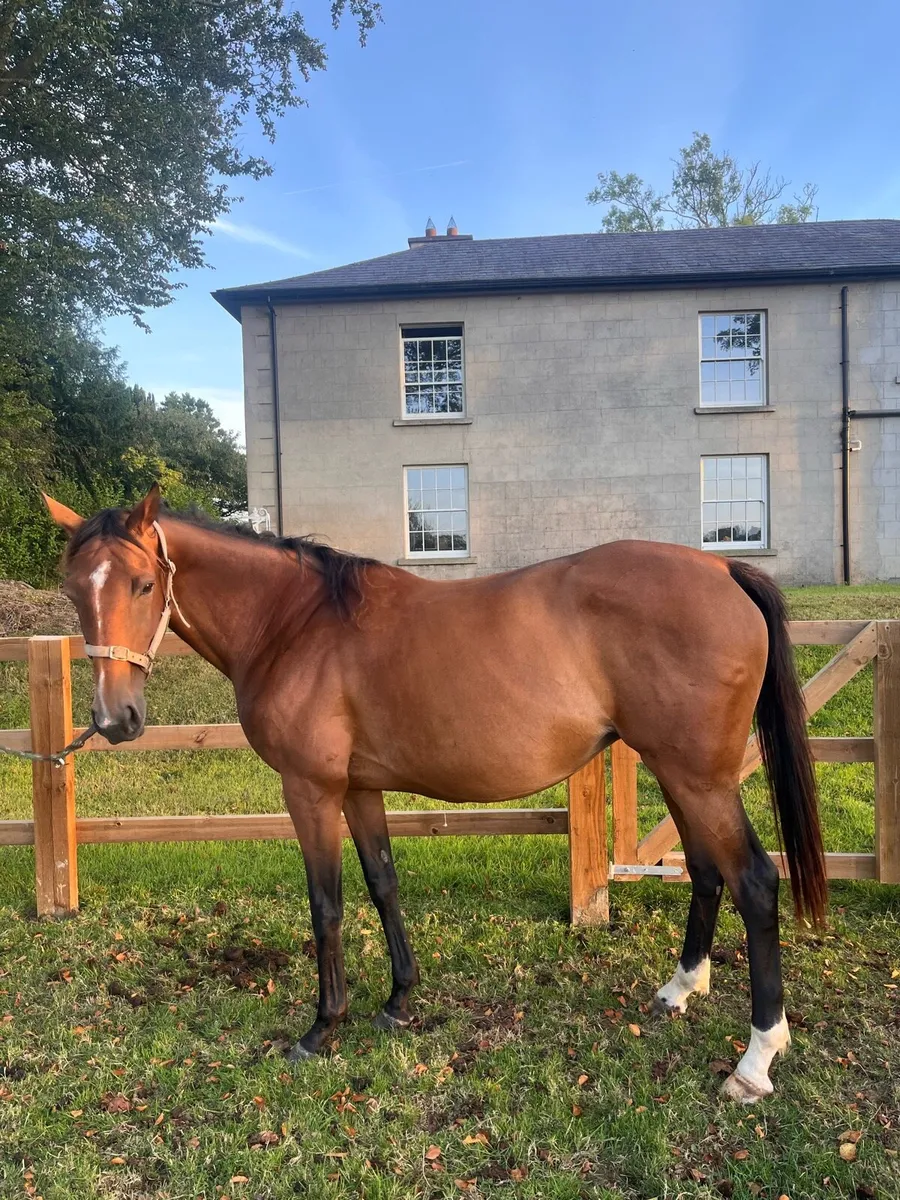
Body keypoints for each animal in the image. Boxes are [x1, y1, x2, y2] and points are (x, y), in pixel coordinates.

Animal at [43, 485, 826, 1102]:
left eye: (143, 585)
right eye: (76, 590)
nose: (114, 719)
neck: (294, 624)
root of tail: (721, 566)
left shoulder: (309, 790)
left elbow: (326, 905)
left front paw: (322, 1027)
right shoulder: (357, 789)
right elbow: (383, 883)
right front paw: (399, 1000)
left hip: (699, 777)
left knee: (755, 882)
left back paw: (755, 1060)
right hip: (678, 772)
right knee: (707, 872)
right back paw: (679, 990)